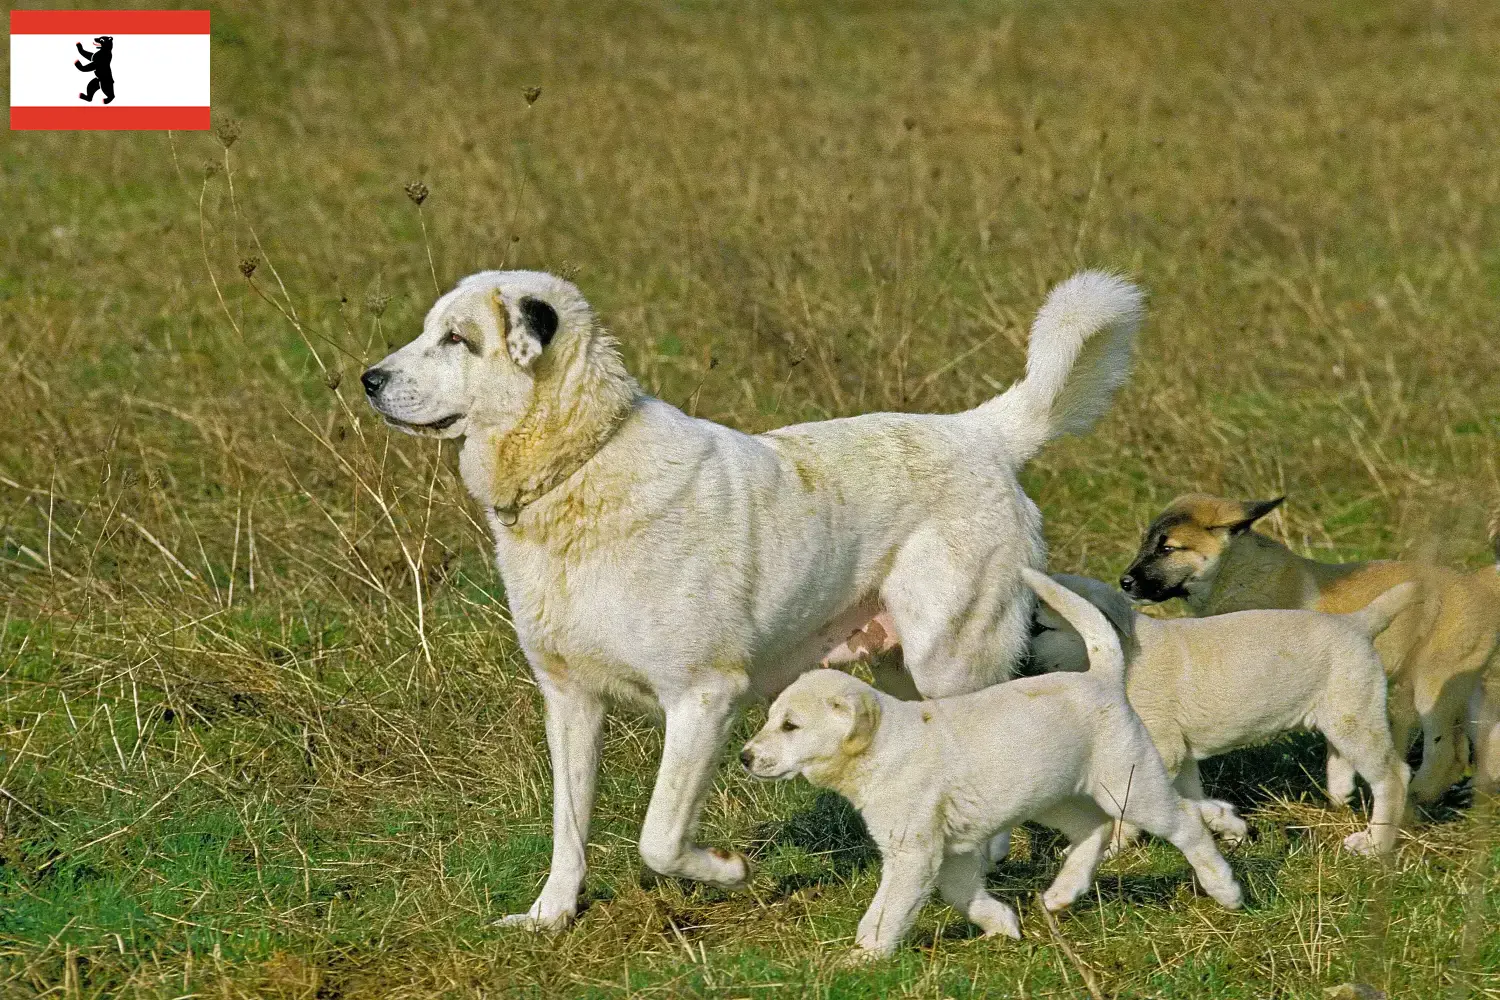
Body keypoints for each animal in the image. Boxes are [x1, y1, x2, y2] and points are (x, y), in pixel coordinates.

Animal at [360, 268, 1134, 929]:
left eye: (458, 339)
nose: (369, 379)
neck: (582, 465)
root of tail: (980, 432)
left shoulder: (704, 696)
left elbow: (658, 836)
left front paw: (727, 870)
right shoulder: (570, 699)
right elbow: (568, 823)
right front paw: (549, 916)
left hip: (950, 658)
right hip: (900, 670)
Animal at [738, 566, 1242, 959]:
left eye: (791, 726)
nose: (744, 758)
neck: (884, 746)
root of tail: (1101, 679)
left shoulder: (913, 853)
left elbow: (886, 912)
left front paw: (864, 957)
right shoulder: (950, 852)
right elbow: (962, 894)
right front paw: (1002, 923)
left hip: (1131, 788)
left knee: (1186, 823)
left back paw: (1226, 889)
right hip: (1052, 798)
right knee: (1094, 831)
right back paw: (1061, 895)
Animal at [1032, 569, 1416, 851]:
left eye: (1041, 627)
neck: (1125, 652)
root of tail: (1358, 623)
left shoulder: (1159, 747)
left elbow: (1127, 806)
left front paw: (1112, 845)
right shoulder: (1179, 757)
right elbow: (1193, 801)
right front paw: (1231, 830)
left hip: (1354, 716)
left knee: (1393, 777)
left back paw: (1375, 845)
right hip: (1343, 710)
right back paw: (1340, 792)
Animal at [1122, 494, 1500, 803]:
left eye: (1167, 549)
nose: (1124, 582)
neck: (1234, 572)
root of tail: (1480, 582)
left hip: (1434, 684)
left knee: (1448, 754)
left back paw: (1415, 800)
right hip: (1464, 682)